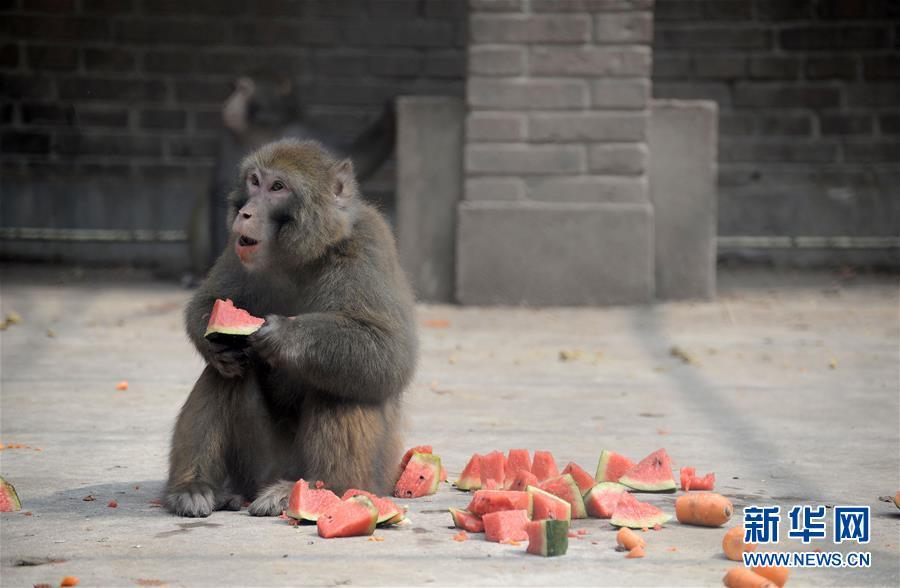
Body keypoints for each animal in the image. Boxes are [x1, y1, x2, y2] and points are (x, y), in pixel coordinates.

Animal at [168, 140, 418, 516]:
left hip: (372, 475)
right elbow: (209, 304)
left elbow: (388, 352)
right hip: (256, 465)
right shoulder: (236, 248)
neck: (298, 258)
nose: (246, 213)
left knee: (343, 382)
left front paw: (282, 336)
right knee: (223, 375)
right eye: (254, 181)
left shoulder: (368, 246)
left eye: (277, 187)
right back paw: (196, 486)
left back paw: (319, 488)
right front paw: (217, 345)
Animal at [188, 70, 396, 274]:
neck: (267, 127)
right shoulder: (229, 136)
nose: (230, 101)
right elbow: (219, 190)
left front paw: (389, 113)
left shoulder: (307, 132)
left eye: (243, 88)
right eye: (236, 87)